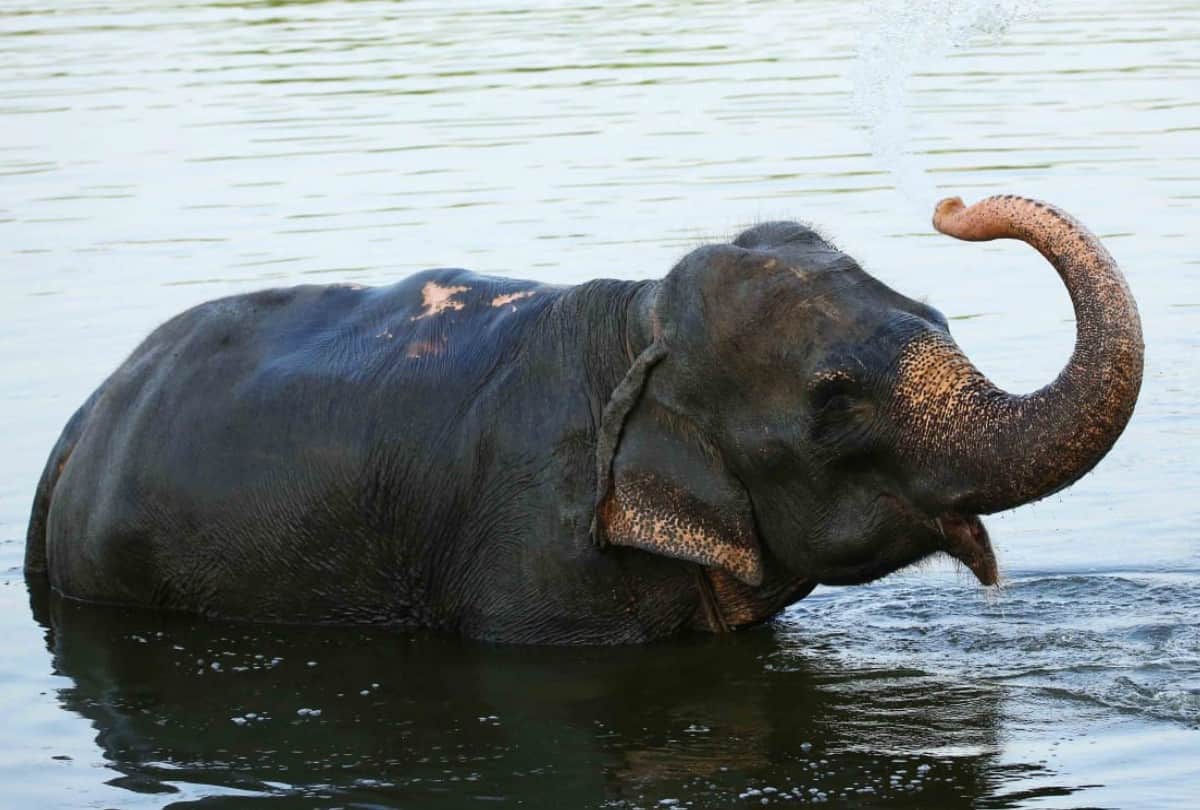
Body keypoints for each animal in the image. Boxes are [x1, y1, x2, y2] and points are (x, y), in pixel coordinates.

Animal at [25, 195, 1143, 644]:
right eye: (834, 403)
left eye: (938, 318)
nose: (951, 207)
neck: (633, 325)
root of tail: (79, 423)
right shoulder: (539, 561)